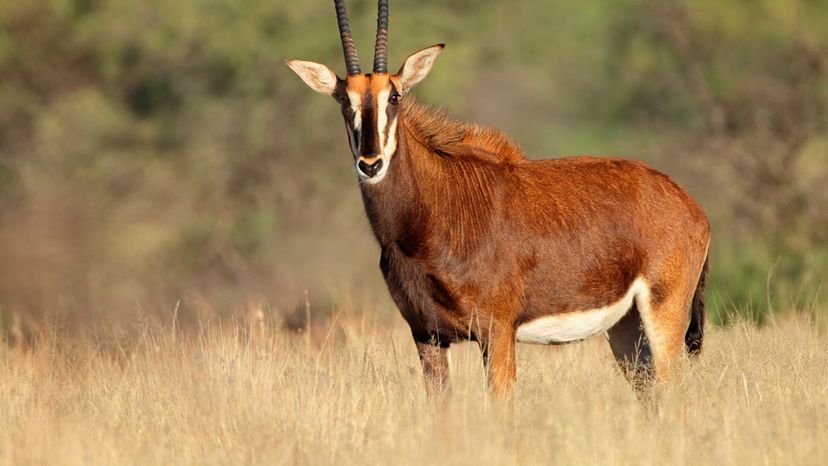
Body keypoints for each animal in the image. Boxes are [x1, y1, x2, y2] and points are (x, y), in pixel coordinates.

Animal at [286, 0, 712, 396]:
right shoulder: (427, 335)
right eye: (345, 100)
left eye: (395, 97)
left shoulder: (497, 331)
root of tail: (690, 204)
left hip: (663, 313)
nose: (370, 164)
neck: (431, 216)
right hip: (626, 327)